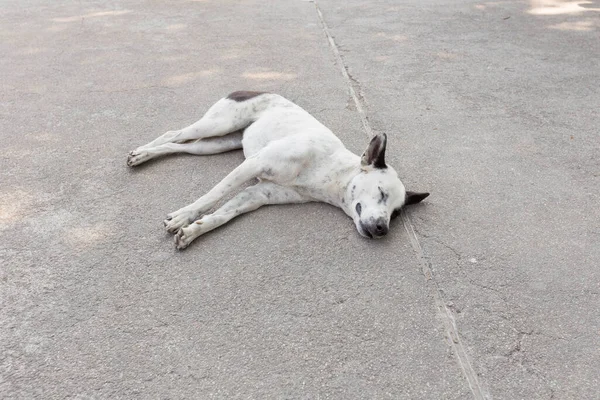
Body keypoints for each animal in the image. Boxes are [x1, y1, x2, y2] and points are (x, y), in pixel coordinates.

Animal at [126, 92, 428, 248]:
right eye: (381, 193)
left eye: (396, 213)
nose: (382, 229)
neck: (327, 172)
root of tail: (252, 89)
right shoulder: (253, 164)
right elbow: (212, 196)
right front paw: (183, 216)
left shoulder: (257, 195)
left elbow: (223, 214)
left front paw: (194, 230)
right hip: (218, 124)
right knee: (174, 134)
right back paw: (141, 152)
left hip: (218, 143)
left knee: (179, 146)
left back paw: (145, 155)